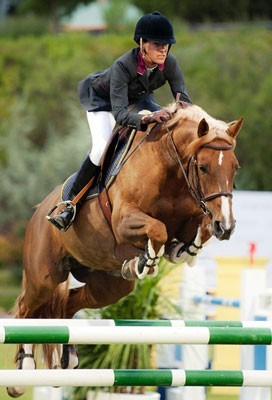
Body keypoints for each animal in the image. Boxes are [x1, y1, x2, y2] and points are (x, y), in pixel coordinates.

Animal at [7, 103, 242, 396]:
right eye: (203, 167)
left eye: (235, 167)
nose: (227, 226)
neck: (169, 168)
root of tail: (39, 211)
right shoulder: (123, 221)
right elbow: (158, 230)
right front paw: (145, 261)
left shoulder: (194, 215)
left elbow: (200, 228)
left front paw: (183, 250)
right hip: (44, 278)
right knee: (26, 309)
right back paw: (23, 372)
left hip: (109, 285)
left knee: (68, 304)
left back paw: (68, 359)